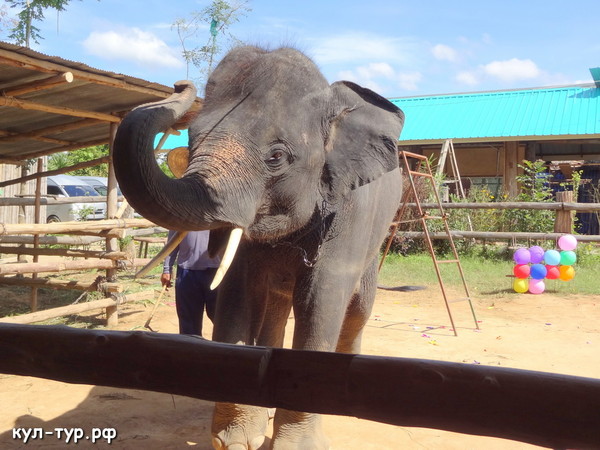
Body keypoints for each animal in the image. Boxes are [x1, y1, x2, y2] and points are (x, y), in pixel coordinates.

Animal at [113, 46, 404, 450]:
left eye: (276, 156)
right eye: (192, 140)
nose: (179, 84)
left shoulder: (351, 215)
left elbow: (321, 301)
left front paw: (296, 444)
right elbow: (236, 294)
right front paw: (235, 438)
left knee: (358, 310)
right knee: (277, 308)